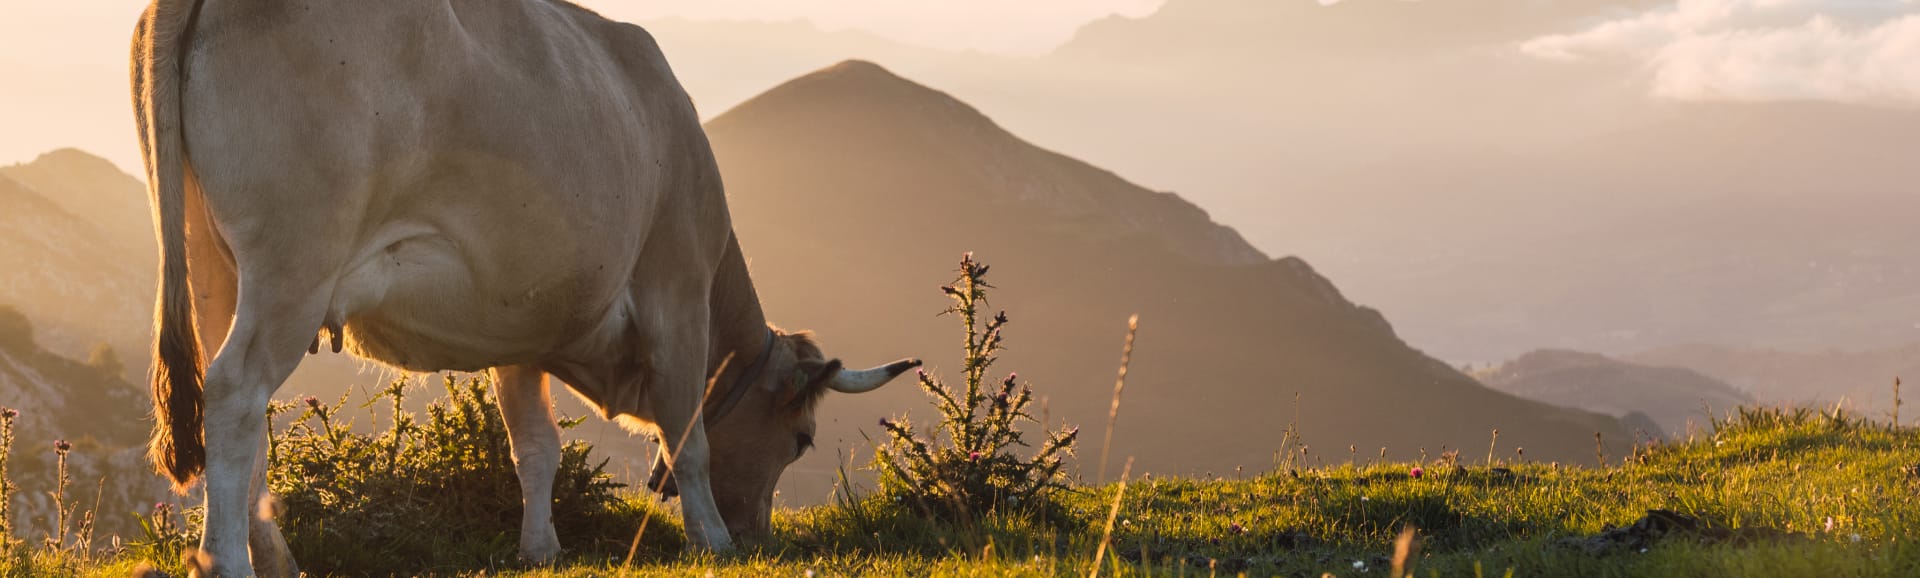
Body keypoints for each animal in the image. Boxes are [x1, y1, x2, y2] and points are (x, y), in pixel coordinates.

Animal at [129, 0, 921, 572]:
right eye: (801, 440)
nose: (760, 536)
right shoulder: (677, 287)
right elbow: (686, 433)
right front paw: (713, 541)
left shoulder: (516, 326)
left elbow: (535, 447)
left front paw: (540, 549)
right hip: (293, 262)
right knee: (234, 392)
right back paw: (227, 560)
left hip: (214, 267)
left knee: (239, 409)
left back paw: (277, 558)